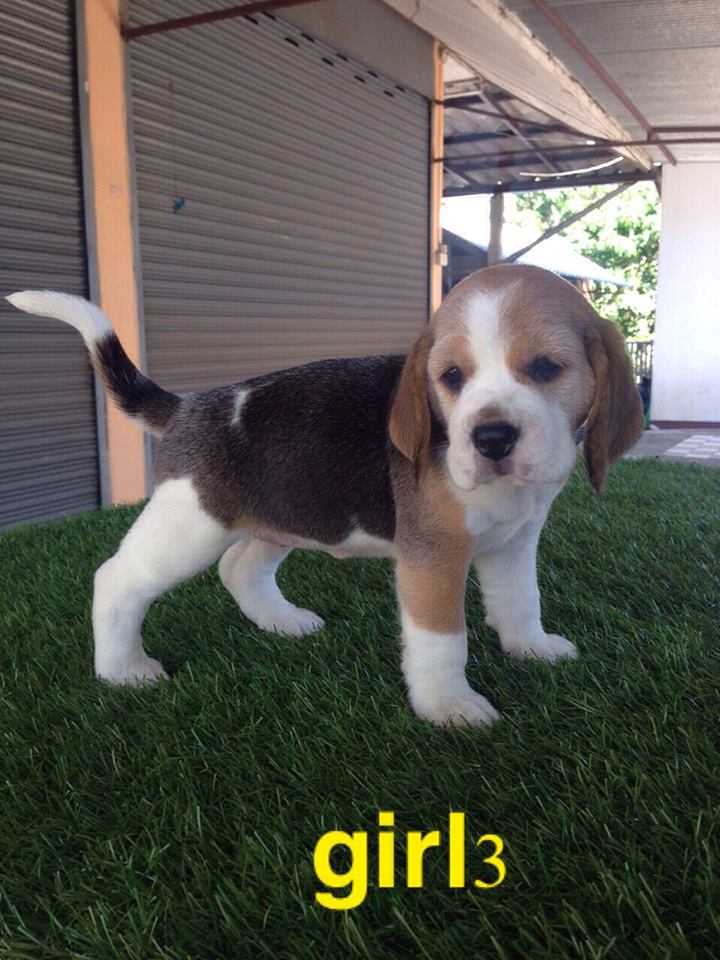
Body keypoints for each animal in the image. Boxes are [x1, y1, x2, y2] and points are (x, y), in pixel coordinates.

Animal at [8, 265, 643, 726]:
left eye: (546, 367)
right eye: (451, 378)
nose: (490, 439)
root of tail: (190, 406)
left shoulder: (514, 542)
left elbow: (520, 600)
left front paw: (531, 648)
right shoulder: (433, 558)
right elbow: (442, 641)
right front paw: (448, 706)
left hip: (281, 514)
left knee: (239, 569)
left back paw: (282, 621)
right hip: (189, 526)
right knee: (117, 580)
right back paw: (123, 670)